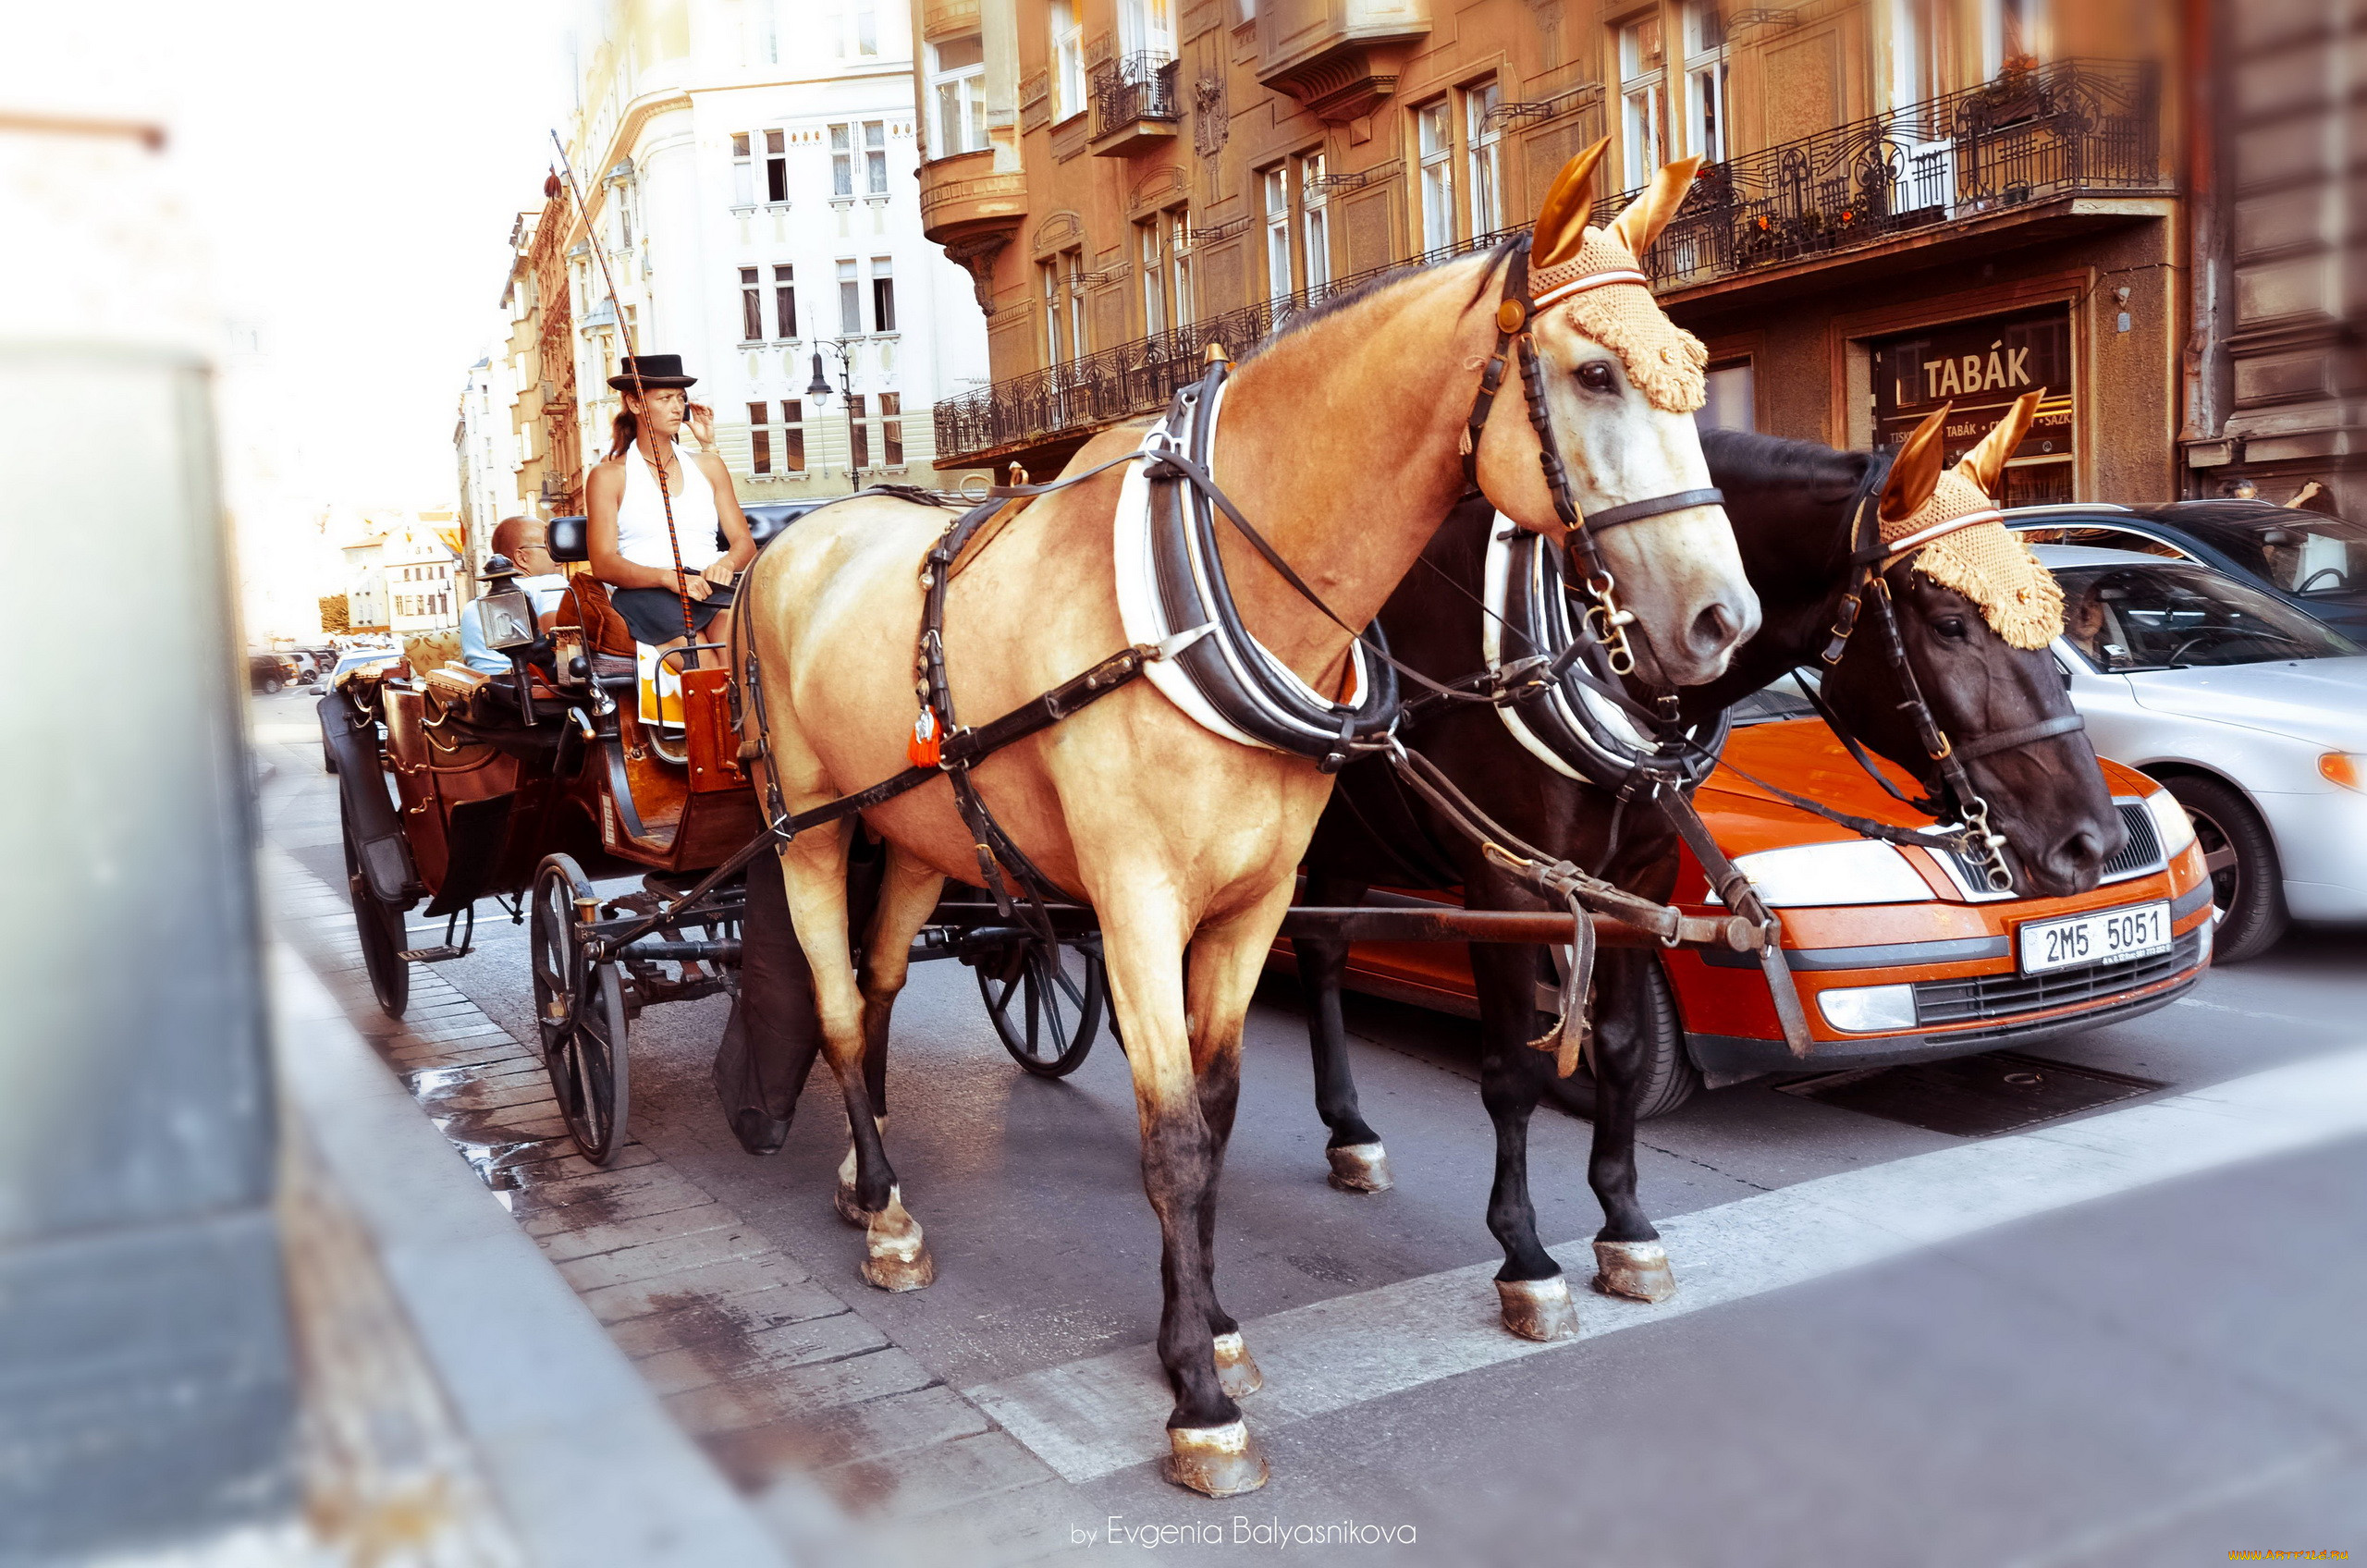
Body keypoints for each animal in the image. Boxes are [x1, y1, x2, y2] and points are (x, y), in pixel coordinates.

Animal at [733, 147, 1760, 1497]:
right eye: (1594, 373)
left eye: (1693, 363)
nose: (1722, 619)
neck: (1203, 601)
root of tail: (795, 540)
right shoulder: (1135, 904)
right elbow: (1170, 1136)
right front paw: (1197, 1400)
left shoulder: (1255, 901)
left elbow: (1216, 1121)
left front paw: (1213, 1327)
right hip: (809, 828)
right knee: (841, 1006)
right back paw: (893, 1217)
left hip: (915, 835)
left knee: (885, 982)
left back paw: (869, 1173)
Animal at [1296, 393, 2130, 1335]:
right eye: (1950, 625)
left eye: (2050, 614)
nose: (2090, 841)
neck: (1600, 645)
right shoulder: (1505, 882)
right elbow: (1513, 1072)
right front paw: (1525, 1258)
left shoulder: (1641, 880)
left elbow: (1622, 1049)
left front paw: (1625, 1229)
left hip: (1343, 846)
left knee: (1321, 954)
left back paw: (1350, 1134)